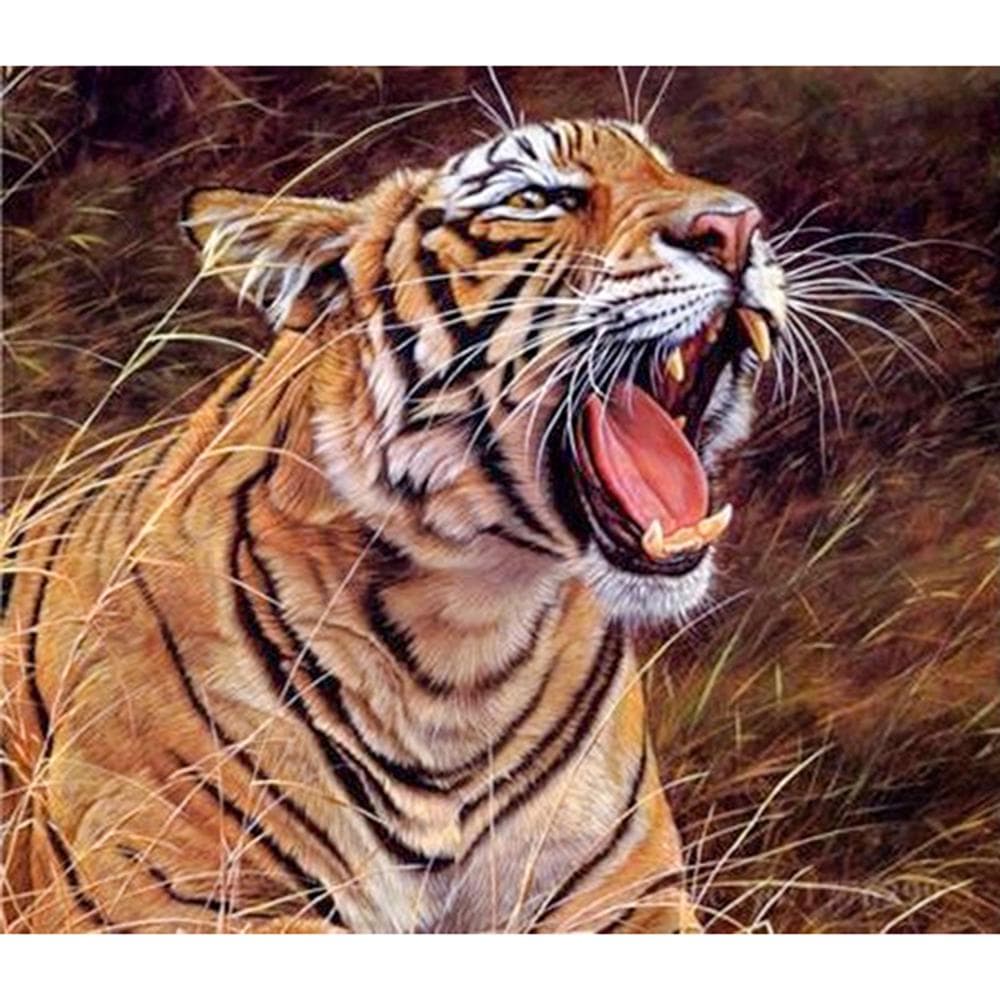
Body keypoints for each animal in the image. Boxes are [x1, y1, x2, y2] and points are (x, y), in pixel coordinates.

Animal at [0, 118, 786, 933]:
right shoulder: (176, 898)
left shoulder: (629, 898)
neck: (461, 648)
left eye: (667, 168)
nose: (735, 227)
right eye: (535, 198)